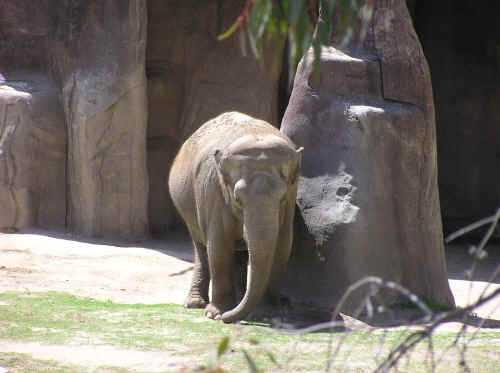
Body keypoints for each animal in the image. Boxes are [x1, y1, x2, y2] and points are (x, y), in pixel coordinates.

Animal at [168, 111, 302, 322]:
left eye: (282, 198)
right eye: (237, 198)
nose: (226, 318)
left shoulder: (291, 197)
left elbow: (282, 247)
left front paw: (268, 315)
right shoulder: (214, 193)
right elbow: (218, 248)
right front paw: (215, 314)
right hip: (187, 207)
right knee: (201, 248)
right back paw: (195, 304)